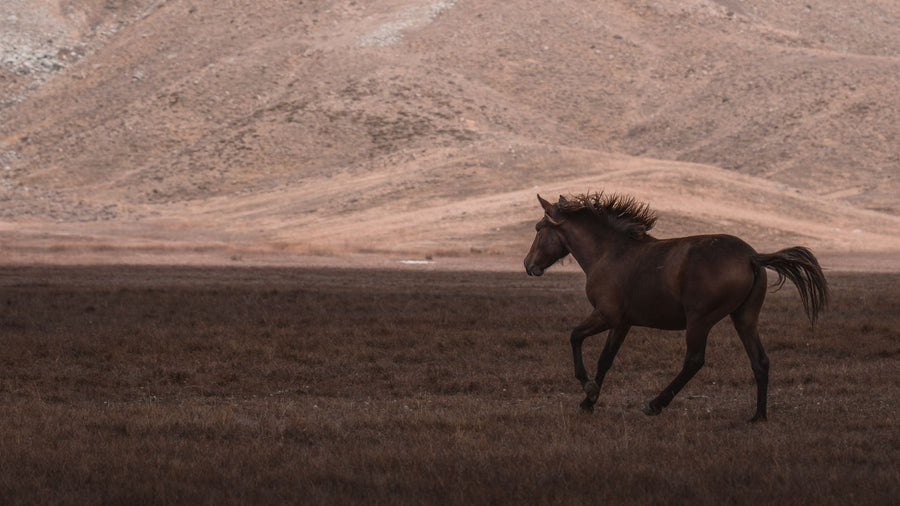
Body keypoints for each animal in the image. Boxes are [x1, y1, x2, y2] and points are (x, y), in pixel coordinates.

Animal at [523, 193, 828, 422]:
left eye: (539, 229)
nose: (528, 265)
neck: (609, 253)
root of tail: (752, 257)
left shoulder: (606, 315)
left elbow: (575, 337)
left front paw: (587, 388)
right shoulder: (622, 323)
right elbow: (605, 359)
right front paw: (590, 401)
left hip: (699, 321)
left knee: (694, 361)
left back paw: (655, 404)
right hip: (744, 318)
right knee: (760, 361)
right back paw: (758, 417)